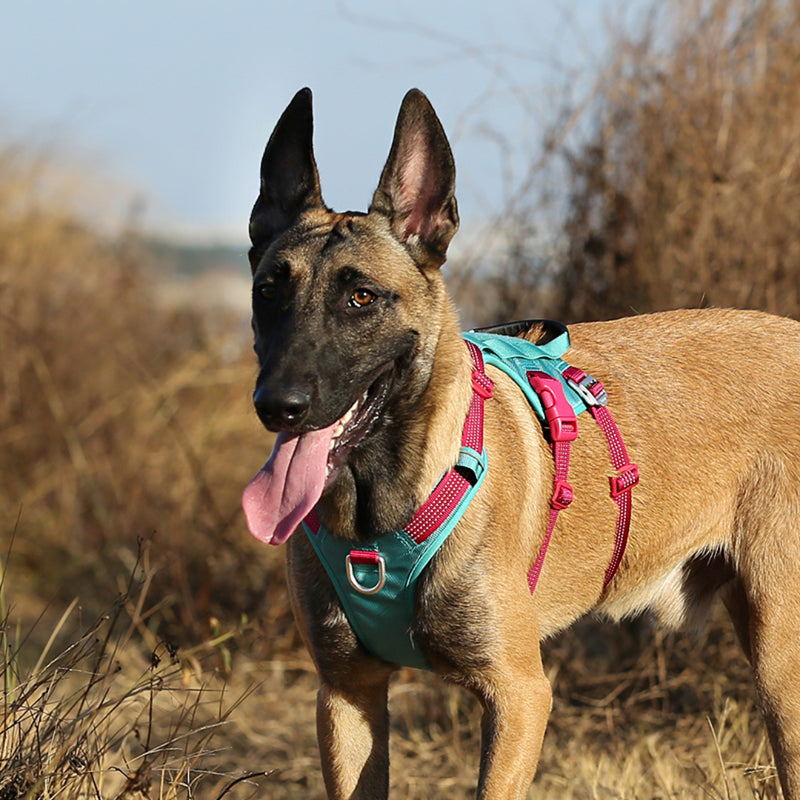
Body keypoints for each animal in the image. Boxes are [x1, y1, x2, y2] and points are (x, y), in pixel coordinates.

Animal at [241, 89, 800, 800]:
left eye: (361, 297)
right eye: (268, 292)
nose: (277, 405)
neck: (383, 505)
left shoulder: (519, 697)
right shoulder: (347, 696)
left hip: (781, 667)